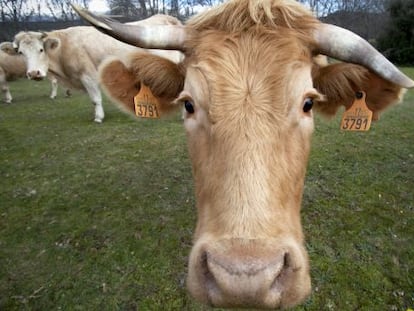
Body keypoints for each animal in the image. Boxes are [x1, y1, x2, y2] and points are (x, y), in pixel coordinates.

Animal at [7, 15, 183, 123]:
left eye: (41, 50)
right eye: (21, 52)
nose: (33, 73)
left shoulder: (87, 75)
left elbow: (95, 99)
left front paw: (98, 117)